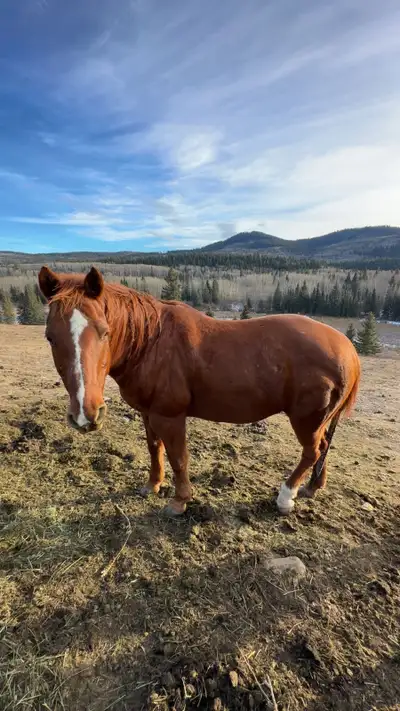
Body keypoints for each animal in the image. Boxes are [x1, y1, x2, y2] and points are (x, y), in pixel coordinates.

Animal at [39, 266, 361, 517]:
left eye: (104, 332)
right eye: (50, 337)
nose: (85, 414)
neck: (151, 342)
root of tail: (347, 349)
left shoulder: (170, 416)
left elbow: (178, 457)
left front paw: (179, 501)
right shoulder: (148, 413)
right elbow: (154, 448)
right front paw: (152, 485)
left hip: (306, 420)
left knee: (311, 451)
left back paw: (286, 496)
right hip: (320, 421)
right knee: (323, 448)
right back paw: (312, 487)